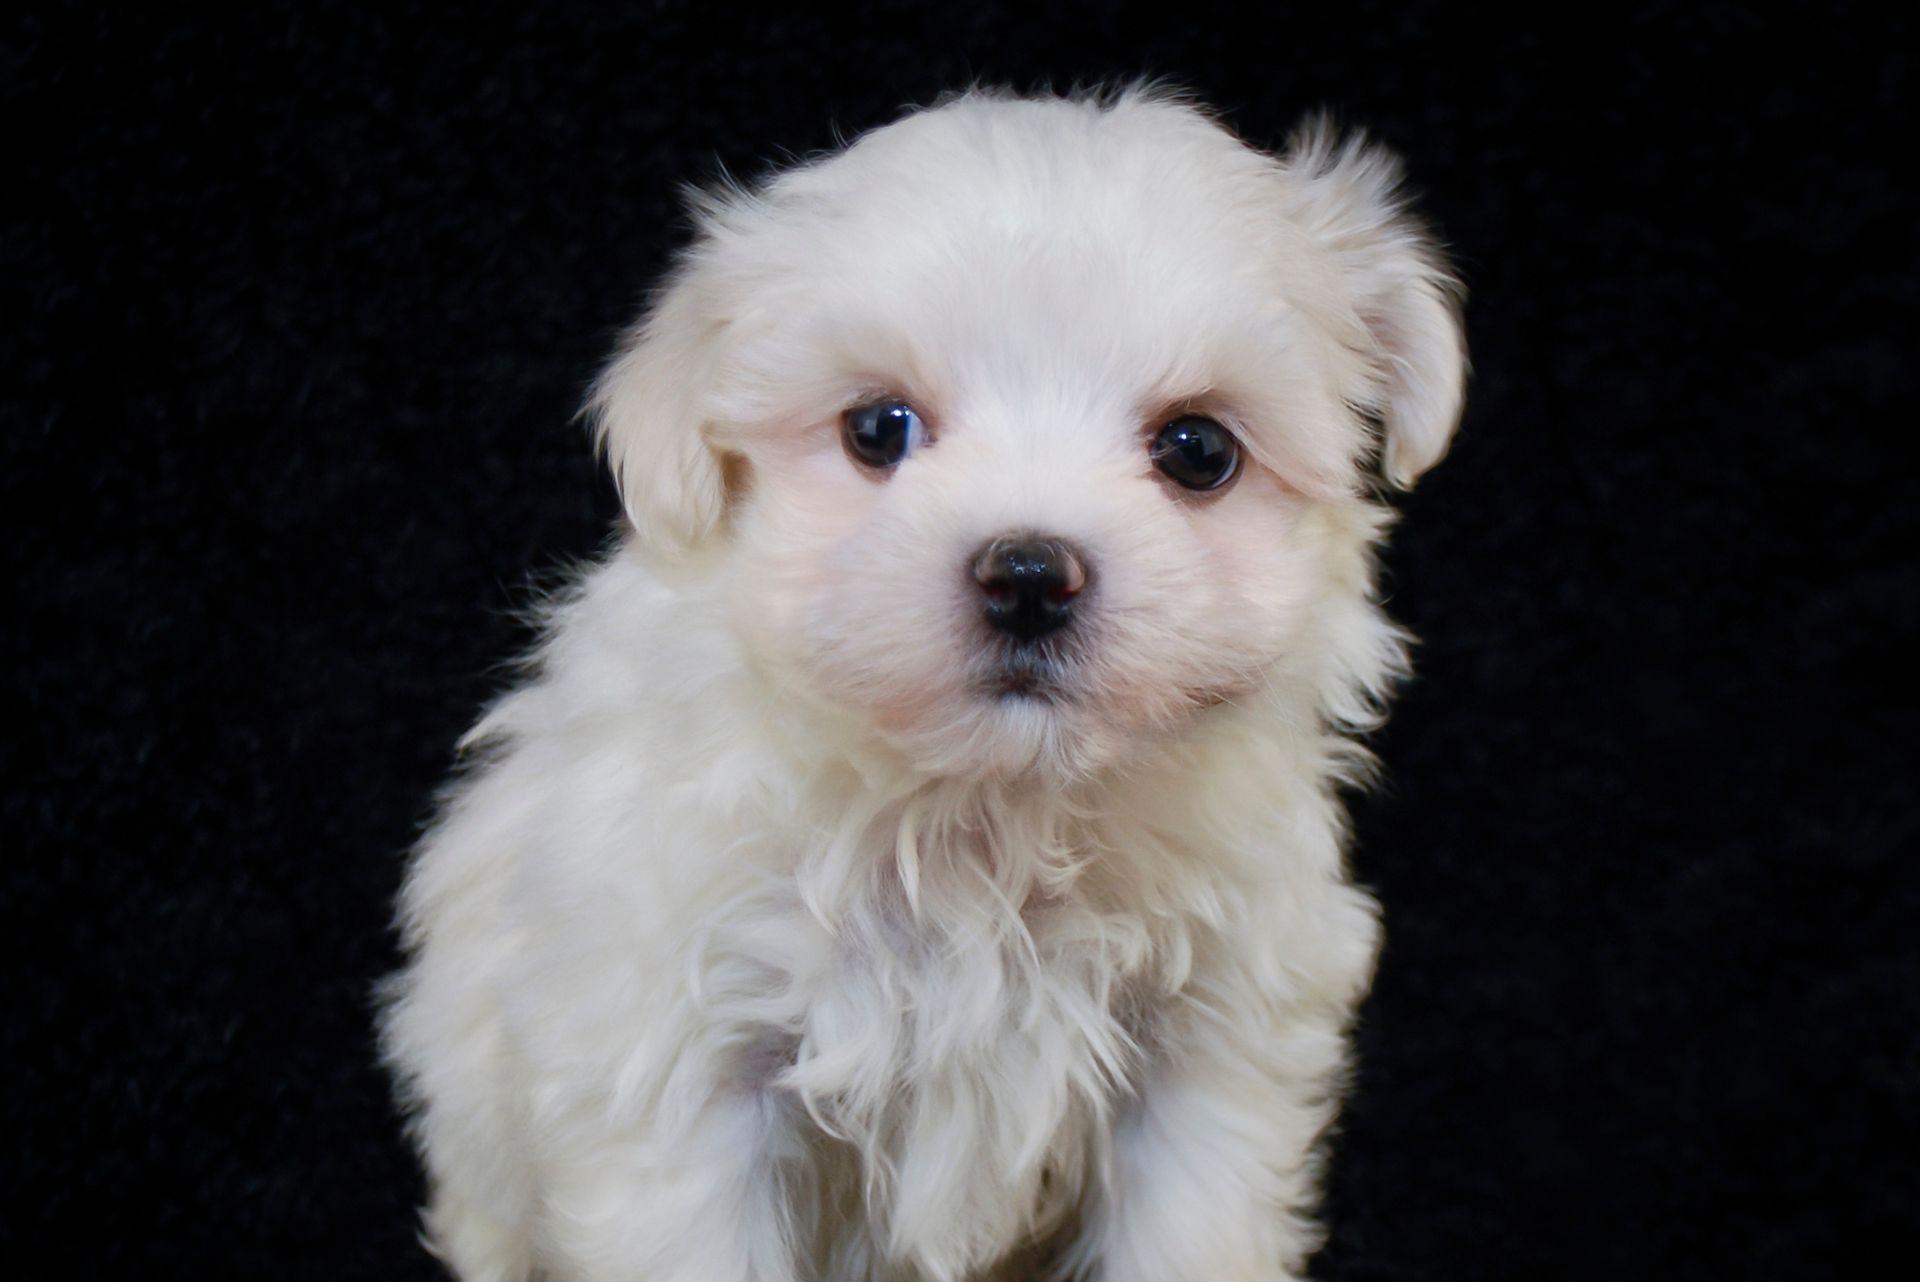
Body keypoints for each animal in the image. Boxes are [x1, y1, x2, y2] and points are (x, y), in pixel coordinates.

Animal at [385, 82, 1466, 1282]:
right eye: (878, 429)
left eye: (1198, 450)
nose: (1029, 574)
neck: (988, 817)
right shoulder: (679, 1056)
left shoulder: (1208, 1056)